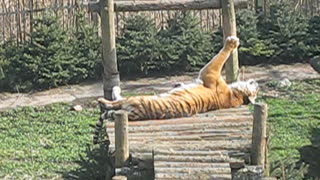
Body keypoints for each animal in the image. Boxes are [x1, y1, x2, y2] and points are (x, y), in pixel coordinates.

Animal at [97, 35, 258, 121]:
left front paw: (232, 42)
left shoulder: (210, 71)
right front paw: (178, 84)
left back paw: (105, 96)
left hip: (134, 99)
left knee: (112, 102)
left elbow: (222, 56)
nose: (257, 84)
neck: (235, 94)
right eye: (256, 91)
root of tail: (132, 114)